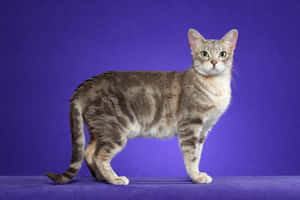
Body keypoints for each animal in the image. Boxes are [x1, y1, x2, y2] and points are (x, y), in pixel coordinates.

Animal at [46, 27, 239, 184]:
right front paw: (196, 177)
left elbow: (198, 155)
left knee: (88, 152)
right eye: (205, 53)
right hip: (115, 130)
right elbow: (191, 156)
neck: (216, 87)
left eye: (222, 54)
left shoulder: (203, 130)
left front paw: (197, 174)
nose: (213, 62)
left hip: (99, 130)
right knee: (99, 155)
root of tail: (84, 87)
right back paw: (114, 179)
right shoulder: (190, 125)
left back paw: (101, 178)